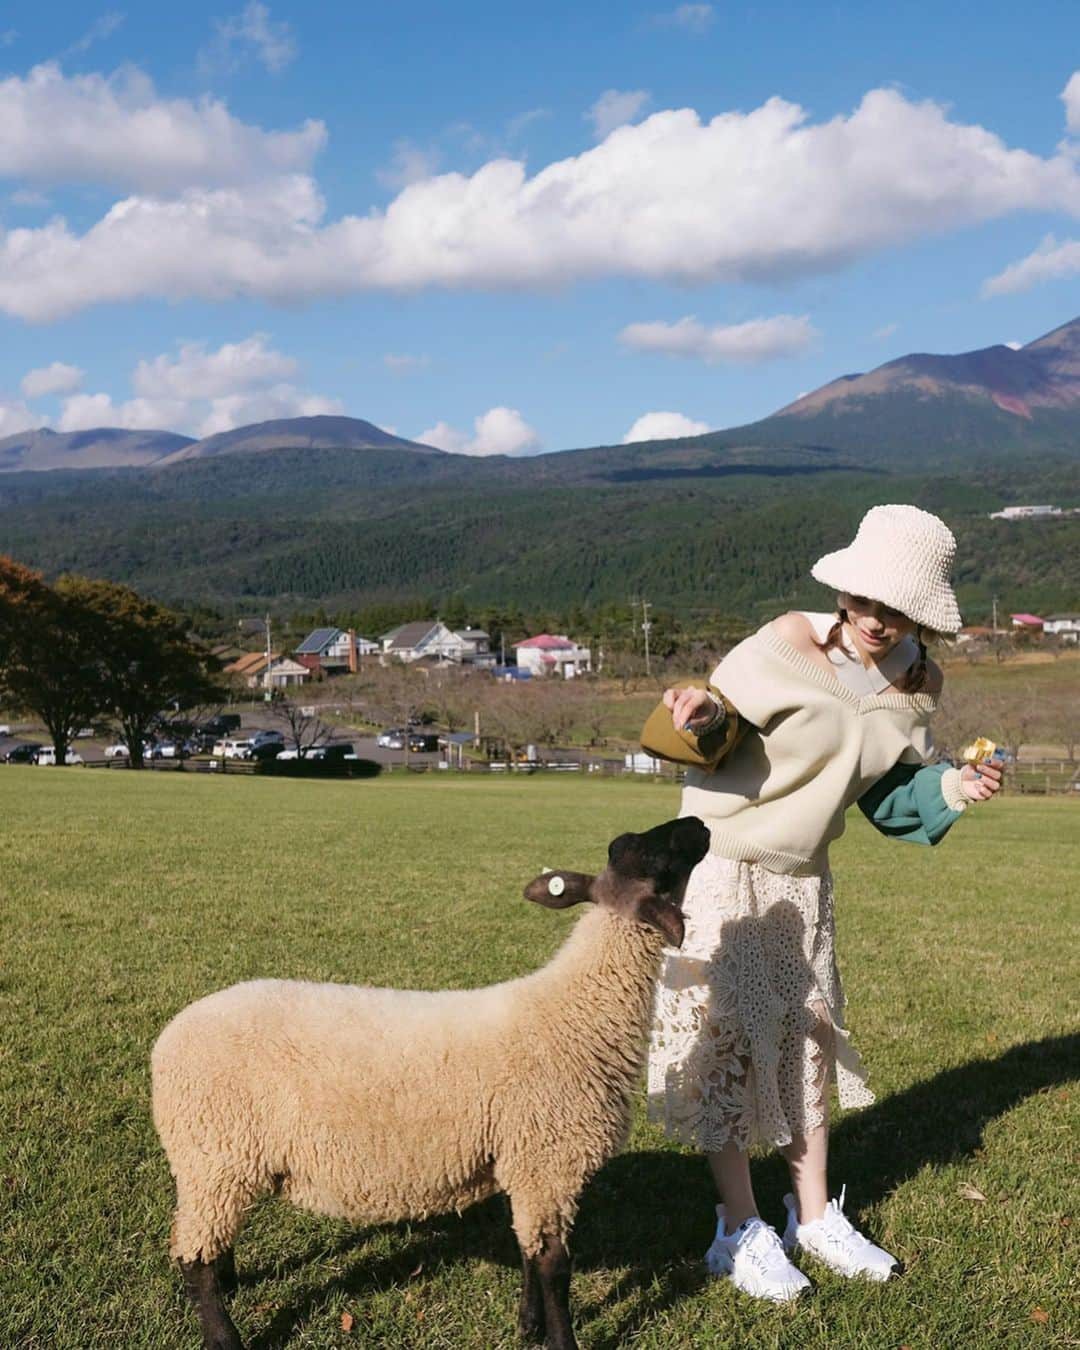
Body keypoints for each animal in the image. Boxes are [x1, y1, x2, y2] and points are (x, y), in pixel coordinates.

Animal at [151, 810, 707, 1350]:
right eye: (660, 862)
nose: (699, 824)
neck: (579, 1012)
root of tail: (168, 1041)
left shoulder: (526, 1163)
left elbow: (528, 1251)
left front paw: (528, 1326)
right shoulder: (548, 1160)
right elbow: (554, 1266)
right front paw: (559, 1339)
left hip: (217, 1162)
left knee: (209, 1238)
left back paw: (230, 1282)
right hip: (214, 1153)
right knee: (193, 1256)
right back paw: (223, 1335)